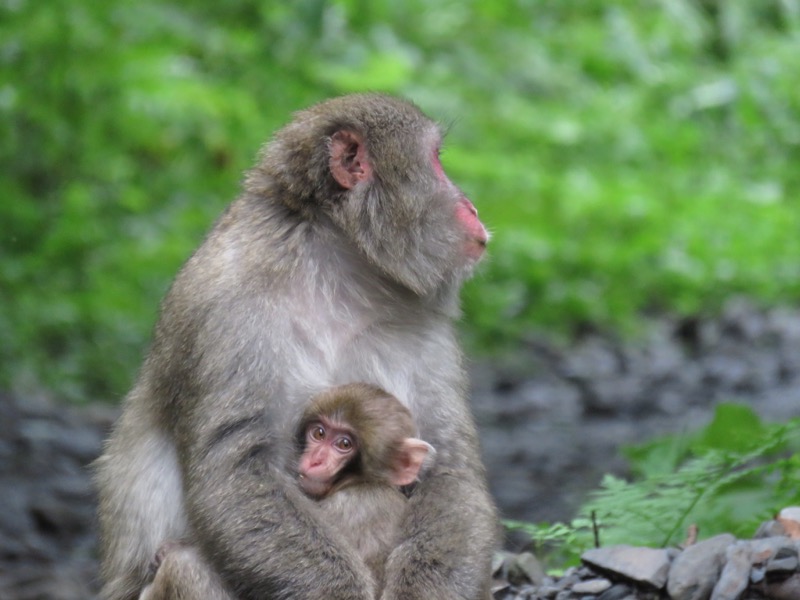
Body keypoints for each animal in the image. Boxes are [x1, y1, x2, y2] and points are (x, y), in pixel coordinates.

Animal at [95, 94, 500, 600]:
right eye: (437, 160)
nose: (473, 206)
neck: (336, 274)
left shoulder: (424, 322)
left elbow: (448, 467)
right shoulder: (225, 310)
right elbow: (238, 470)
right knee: (184, 566)